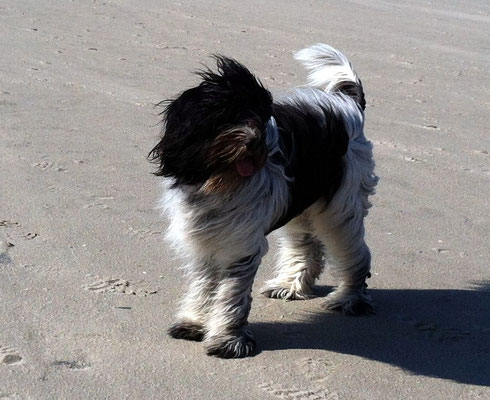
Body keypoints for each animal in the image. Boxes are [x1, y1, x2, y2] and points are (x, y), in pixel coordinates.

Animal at [149, 44, 378, 360]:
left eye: (258, 117)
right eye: (228, 114)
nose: (253, 142)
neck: (221, 178)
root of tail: (348, 104)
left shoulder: (240, 242)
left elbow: (231, 293)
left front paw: (228, 340)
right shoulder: (206, 237)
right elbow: (205, 283)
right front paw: (194, 322)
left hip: (340, 208)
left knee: (356, 254)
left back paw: (349, 298)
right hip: (301, 204)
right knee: (307, 246)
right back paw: (291, 286)